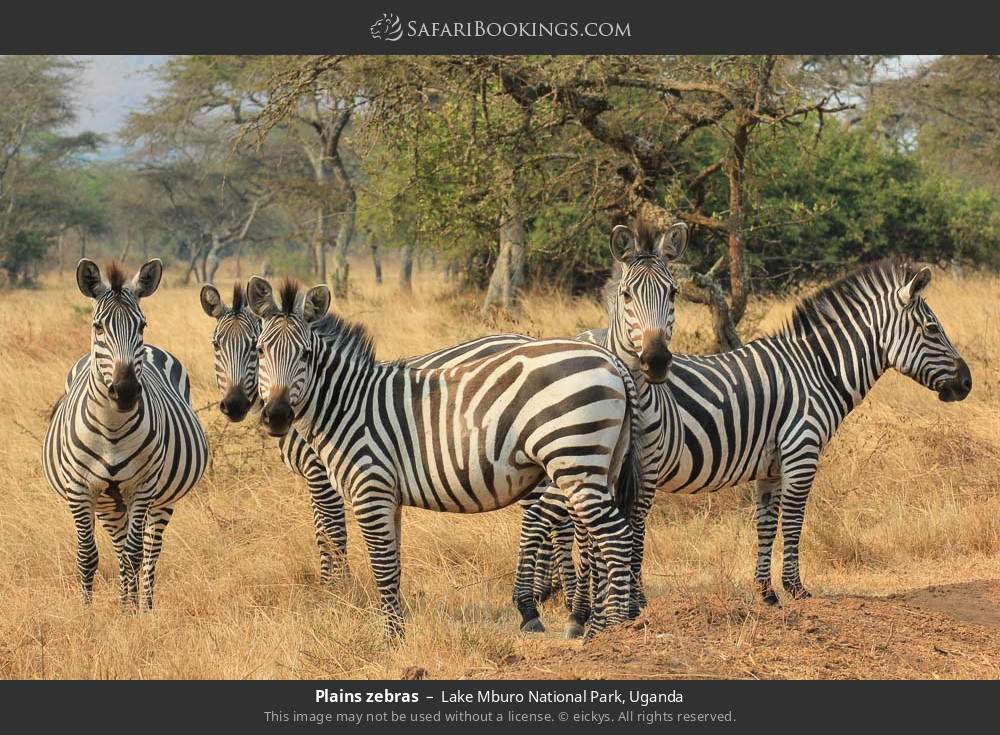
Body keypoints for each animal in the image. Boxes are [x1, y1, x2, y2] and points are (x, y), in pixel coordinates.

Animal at [42, 262, 210, 608]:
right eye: (97, 327)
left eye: (142, 325)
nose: (126, 390)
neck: (112, 428)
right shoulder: (80, 489)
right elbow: (87, 555)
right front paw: (88, 612)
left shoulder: (143, 486)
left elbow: (135, 555)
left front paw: (132, 614)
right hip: (108, 503)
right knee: (119, 548)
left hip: (160, 499)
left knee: (149, 552)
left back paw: (143, 604)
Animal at [246, 276, 644, 640]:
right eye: (261, 351)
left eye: (306, 355)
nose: (276, 416)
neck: (348, 405)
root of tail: (609, 359)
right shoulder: (389, 496)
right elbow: (394, 565)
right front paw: (398, 631)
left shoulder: (370, 488)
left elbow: (382, 566)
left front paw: (392, 640)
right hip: (598, 464)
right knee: (599, 536)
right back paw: (594, 623)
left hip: (575, 458)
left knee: (614, 535)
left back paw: (610, 629)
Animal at [524, 260, 968, 608]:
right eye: (932, 329)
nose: (967, 383)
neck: (818, 370)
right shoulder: (801, 450)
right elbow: (794, 521)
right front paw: (796, 589)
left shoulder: (771, 467)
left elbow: (766, 524)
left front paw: (766, 593)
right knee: (561, 517)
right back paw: (585, 599)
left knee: (562, 518)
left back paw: (566, 596)